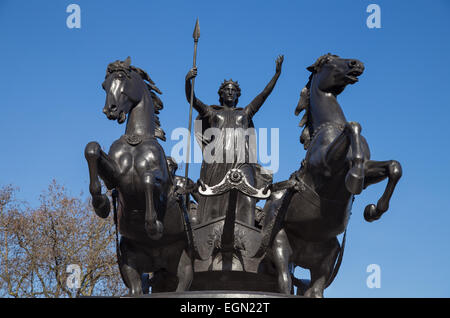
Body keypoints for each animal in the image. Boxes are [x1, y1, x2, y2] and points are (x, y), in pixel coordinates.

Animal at [84, 57, 192, 296]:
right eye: (104, 85)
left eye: (121, 78)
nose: (110, 110)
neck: (137, 139)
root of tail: (158, 263)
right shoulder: (116, 176)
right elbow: (92, 149)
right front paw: (101, 204)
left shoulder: (163, 184)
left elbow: (148, 180)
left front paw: (154, 227)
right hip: (129, 260)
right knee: (136, 289)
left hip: (182, 262)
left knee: (182, 285)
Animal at [262, 52, 402, 298]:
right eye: (328, 61)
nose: (357, 64)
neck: (330, 126)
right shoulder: (326, 166)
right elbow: (353, 126)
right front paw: (354, 178)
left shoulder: (369, 171)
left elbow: (394, 167)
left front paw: (374, 210)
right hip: (280, 248)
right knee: (284, 283)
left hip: (325, 261)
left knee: (314, 290)